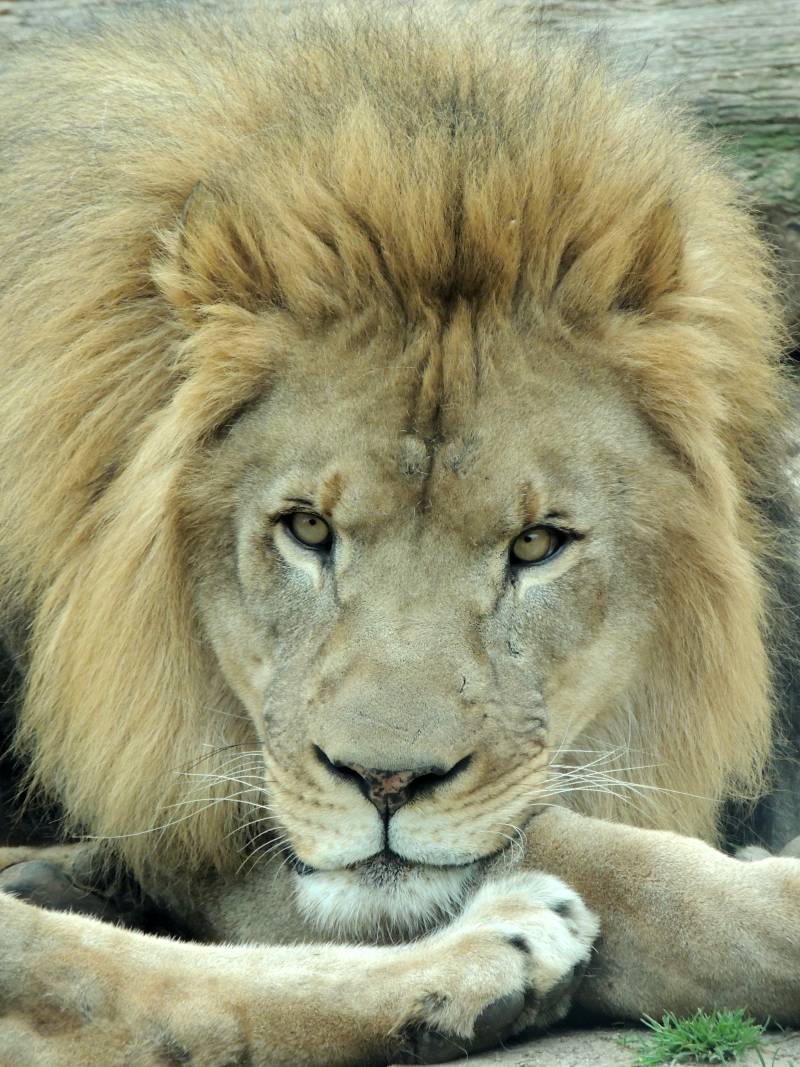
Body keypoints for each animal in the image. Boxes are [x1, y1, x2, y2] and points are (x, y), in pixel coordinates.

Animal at [0, 2, 798, 1064]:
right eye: (306, 528)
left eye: (536, 543)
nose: (385, 781)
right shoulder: (193, 787)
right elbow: (592, 852)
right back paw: (489, 958)